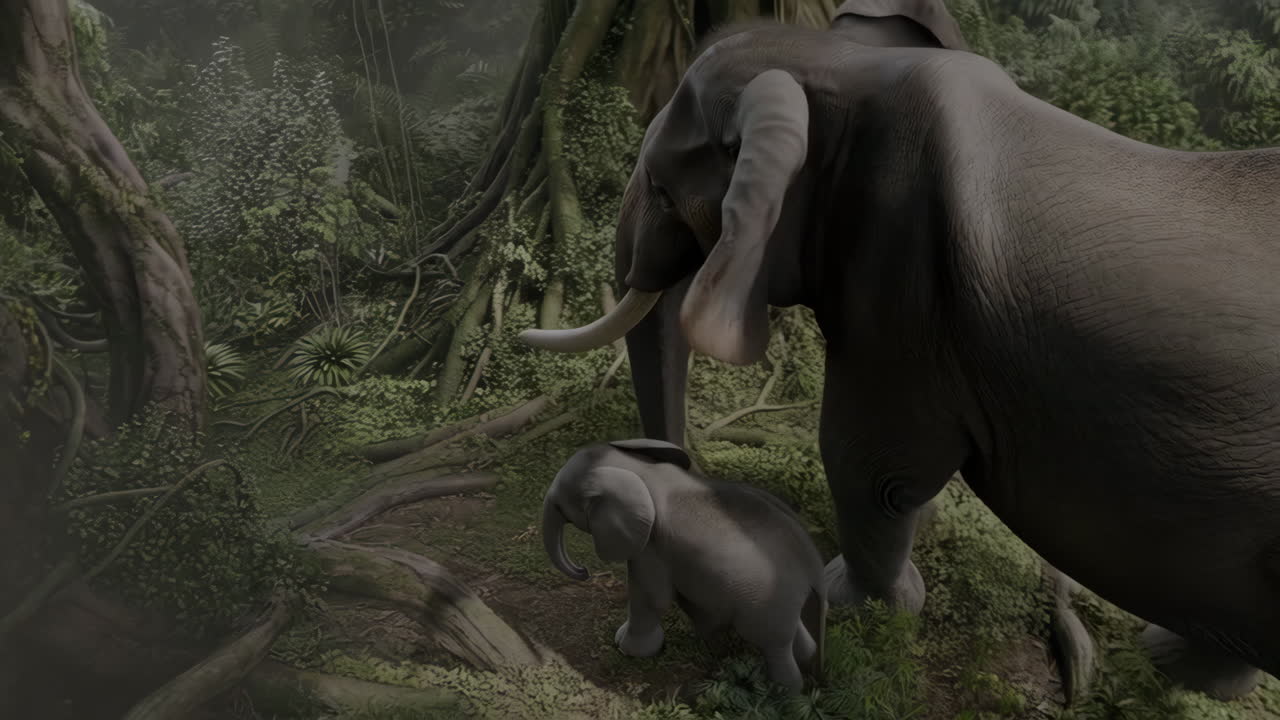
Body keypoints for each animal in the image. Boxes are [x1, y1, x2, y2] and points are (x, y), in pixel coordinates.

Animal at [542, 438, 827, 694]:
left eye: (561, 502)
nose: (584, 572)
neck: (640, 469)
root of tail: (814, 568)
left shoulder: (652, 546)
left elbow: (653, 597)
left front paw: (627, 649)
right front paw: (708, 642)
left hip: (767, 603)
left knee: (773, 645)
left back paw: (780, 692)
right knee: (796, 639)